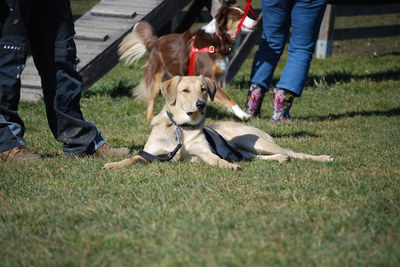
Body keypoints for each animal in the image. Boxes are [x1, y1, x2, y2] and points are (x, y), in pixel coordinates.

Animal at [104, 76, 334, 172]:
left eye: (203, 89)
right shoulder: (151, 154)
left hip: (256, 143)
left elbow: (217, 160)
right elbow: (133, 158)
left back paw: (323, 158)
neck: (181, 128)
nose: (201, 104)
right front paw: (112, 164)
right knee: (265, 157)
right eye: (185, 90)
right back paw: (280, 159)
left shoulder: (205, 153)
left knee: (294, 151)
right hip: (248, 151)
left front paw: (230, 167)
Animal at [117, 1, 258, 121]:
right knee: (152, 98)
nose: (256, 22)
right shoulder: (209, 77)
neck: (218, 39)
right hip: (157, 77)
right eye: (240, 16)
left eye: (246, 14)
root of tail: (156, 40)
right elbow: (229, 99)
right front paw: (243, 115)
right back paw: (151, 118)